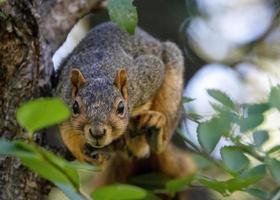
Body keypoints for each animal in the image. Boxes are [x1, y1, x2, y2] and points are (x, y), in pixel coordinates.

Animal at [54, 22, 195, 198]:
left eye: (121, 108)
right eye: (74, 107)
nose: (97, 132)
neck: (99, 70)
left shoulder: (146, 76)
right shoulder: (61, 96)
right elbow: (66, 131)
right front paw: (81, 150)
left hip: (172, 85)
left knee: (158, 140)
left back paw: (152, 132)